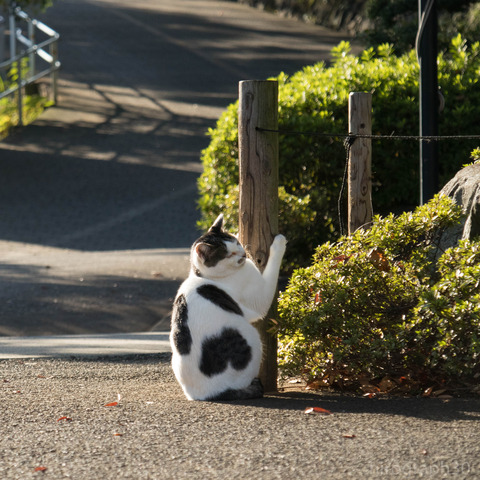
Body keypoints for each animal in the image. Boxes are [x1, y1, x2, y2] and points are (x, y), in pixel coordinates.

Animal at [171, 215, 286, 402]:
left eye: (237, 243)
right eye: (229, 254)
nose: (243, 254)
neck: (205, 275)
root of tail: (206, 395)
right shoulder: (259, 300)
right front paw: (279, 243)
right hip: (253, 339)